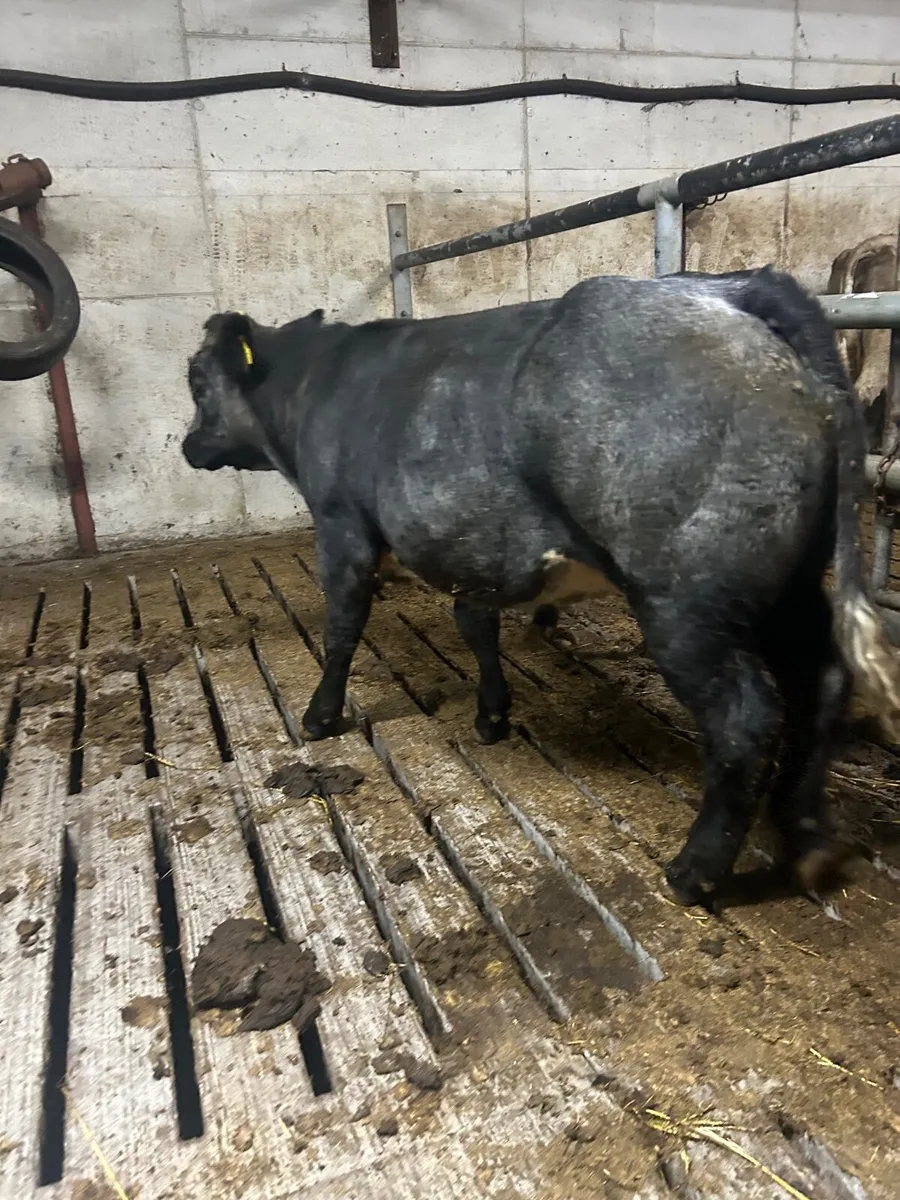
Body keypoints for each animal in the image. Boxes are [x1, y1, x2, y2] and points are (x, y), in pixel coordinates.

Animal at [181, 267, 900, 908]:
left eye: (195, 379)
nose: (187, 446)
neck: (313, 387)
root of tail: (736, 289)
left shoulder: (342, 523)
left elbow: (343, 625)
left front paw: (321, 715)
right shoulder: (477, 541)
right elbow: (476, 623)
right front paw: (492, 713)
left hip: (687, 599)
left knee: (746, 717)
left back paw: (696, 871)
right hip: (787, 583)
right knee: (823, 679)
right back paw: (806, 842)